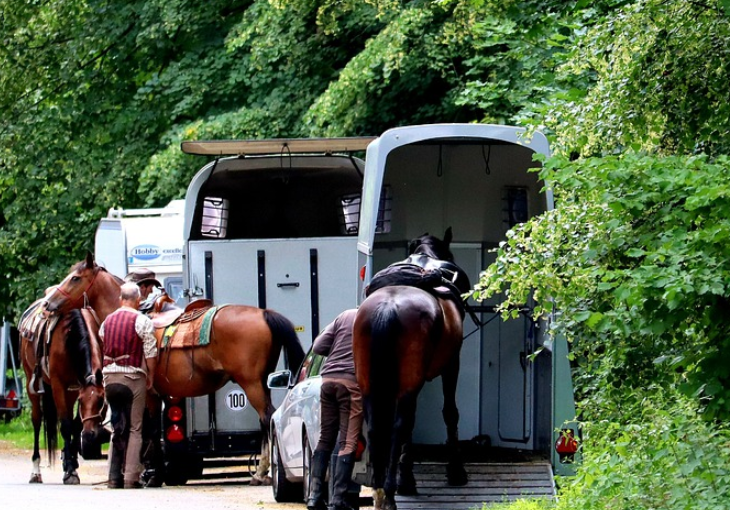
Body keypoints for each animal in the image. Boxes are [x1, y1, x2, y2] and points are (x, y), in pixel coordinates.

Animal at [18, 300, 106, 484]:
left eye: (101, 400)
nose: (90, 436)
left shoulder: (76, 387)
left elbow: (76, 424)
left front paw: (70, 461)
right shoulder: (59, 385)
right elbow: (65, 425)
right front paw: (70, 471)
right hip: (32, 384)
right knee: (37, 420)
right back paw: (35, 471)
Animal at [43, 253, 304, 484]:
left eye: (75, 278)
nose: (48, 302)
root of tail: (264, 313)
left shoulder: (147, 392)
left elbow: (148, 429)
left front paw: (151, 474)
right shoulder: (161, 394)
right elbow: (153, 431)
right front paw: (152, 472)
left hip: (251, 384)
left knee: (267, 418)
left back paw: (261, 473)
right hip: (263, 382)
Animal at [352, 230, 466, 510]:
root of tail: (387, 309)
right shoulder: (451, 363)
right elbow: (450, 413)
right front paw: (455, 470)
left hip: (370, 383)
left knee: (377, 427)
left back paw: (381, 490)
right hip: (409, 383)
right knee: (399, 426)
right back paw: (390, 493)